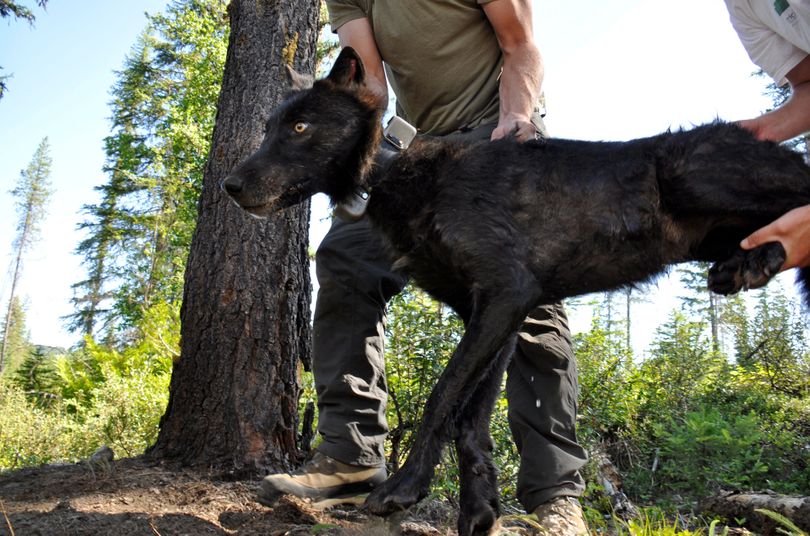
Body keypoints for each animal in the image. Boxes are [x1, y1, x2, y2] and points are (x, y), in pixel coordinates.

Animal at [221, 47, 808, 536]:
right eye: (269, 127)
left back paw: (760, 257)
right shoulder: (496, 316)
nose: (229, 186)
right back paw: (749, 261)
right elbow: (470, 419)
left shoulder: (506, 294)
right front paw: (478, 510)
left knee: (801, 200)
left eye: (300, 126)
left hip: (686, 171)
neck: (394, 172)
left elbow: (441, 397)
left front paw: (404, 488)